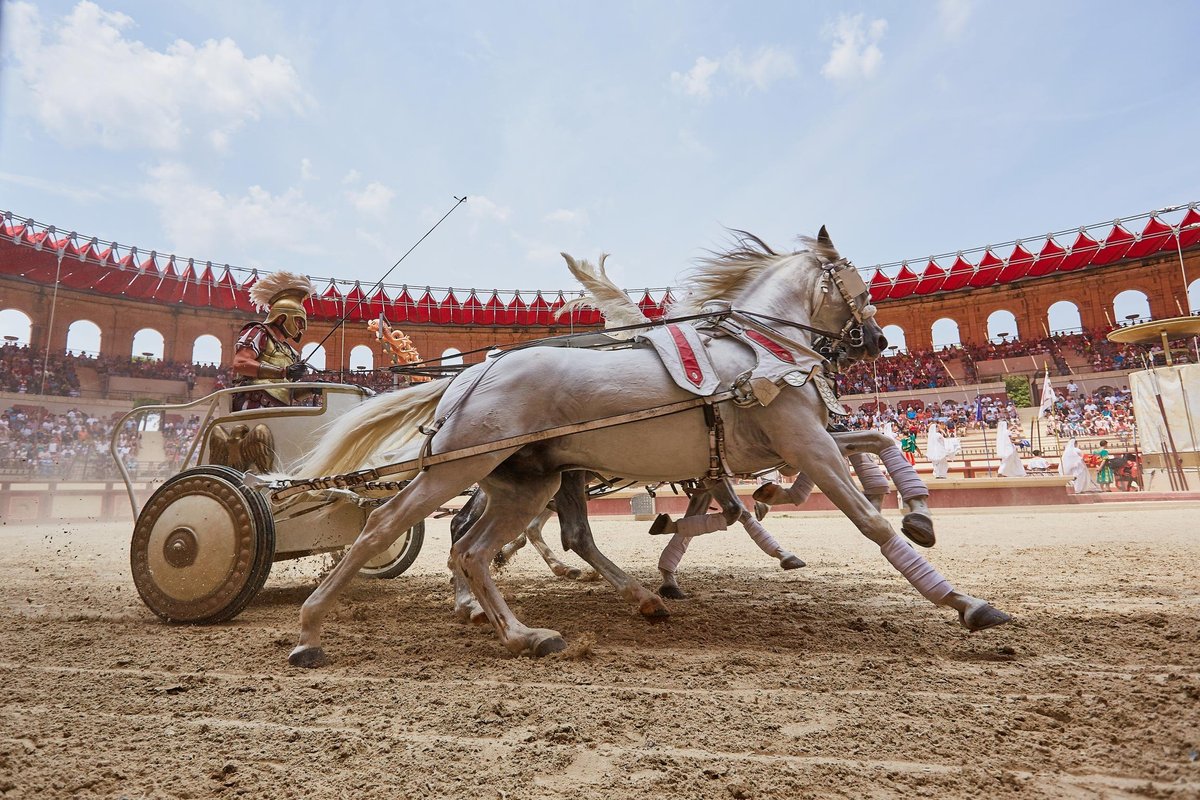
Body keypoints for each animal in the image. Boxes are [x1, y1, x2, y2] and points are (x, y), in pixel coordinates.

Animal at [285, 227, 1008, 666]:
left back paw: (527, 631)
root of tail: (470, 375)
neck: (759, 351)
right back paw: (312, 628)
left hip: (526, 482)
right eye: (855, 280)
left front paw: (916, 508)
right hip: (462, 471)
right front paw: (963, 601)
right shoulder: (804, 443)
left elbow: (875, 440)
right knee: (387, 526)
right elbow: (866, 518)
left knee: (477, 548)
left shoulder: (777, 449)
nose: (877, 341)